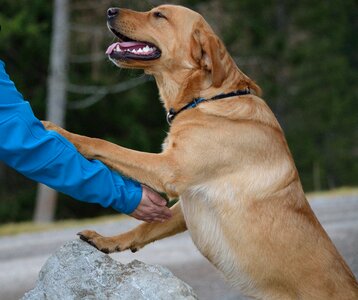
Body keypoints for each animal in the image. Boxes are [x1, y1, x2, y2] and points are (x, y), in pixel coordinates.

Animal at [44, 4, 358, 300]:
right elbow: (144, 228)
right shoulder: (185, 201)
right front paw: (108, 241)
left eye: (159, 15)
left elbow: (103, 144)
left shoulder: (169, 169)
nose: (109, 10)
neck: (206, 98)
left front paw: (60, 132)